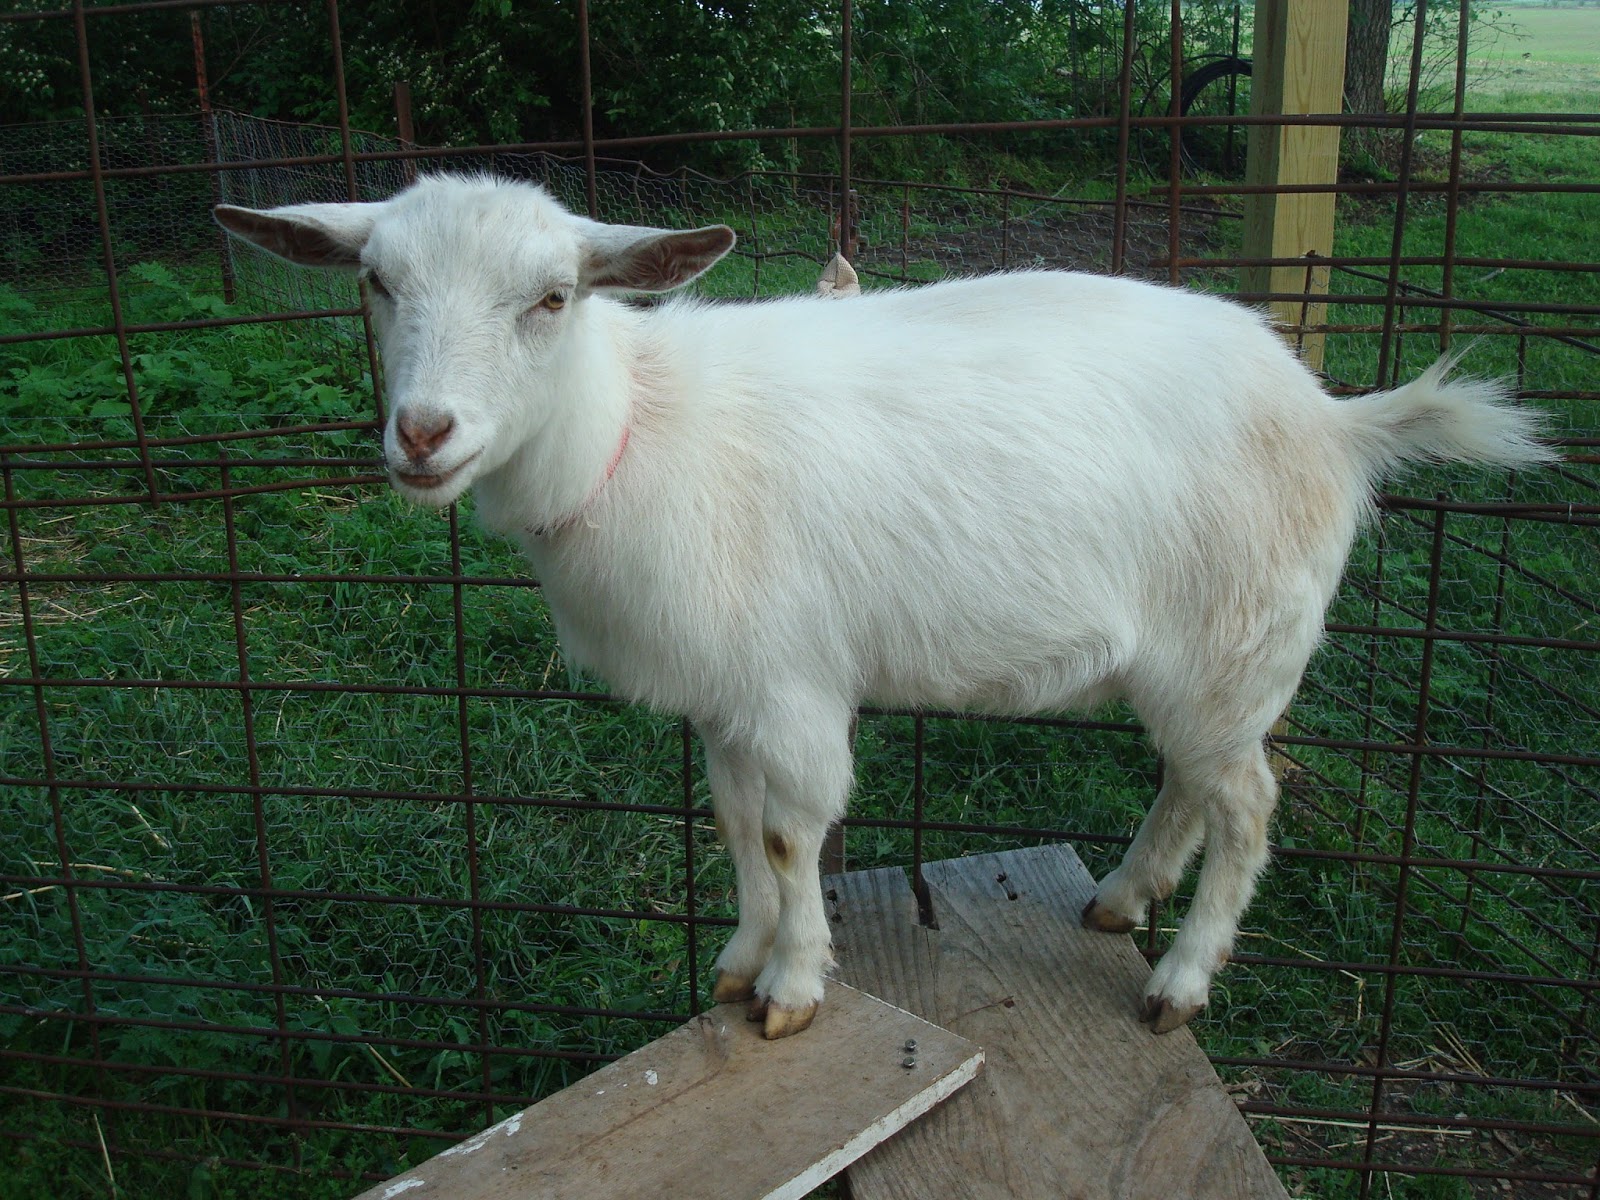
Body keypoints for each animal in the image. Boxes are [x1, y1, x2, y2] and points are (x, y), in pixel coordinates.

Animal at [215, 175, 1552, 1040]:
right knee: (1195, 782)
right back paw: (1120, 899)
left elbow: (792, 832)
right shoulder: (724, 698)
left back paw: (1178, 981)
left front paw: (794, 989)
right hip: (1199, 670)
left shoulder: (792, 688)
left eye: (552, 297)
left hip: (1238, 642)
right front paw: (738, 960)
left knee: (1251, 808)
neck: (635, 430)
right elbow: (734, 826)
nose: (422, 434)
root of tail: (1336, 420)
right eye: (375, 283)